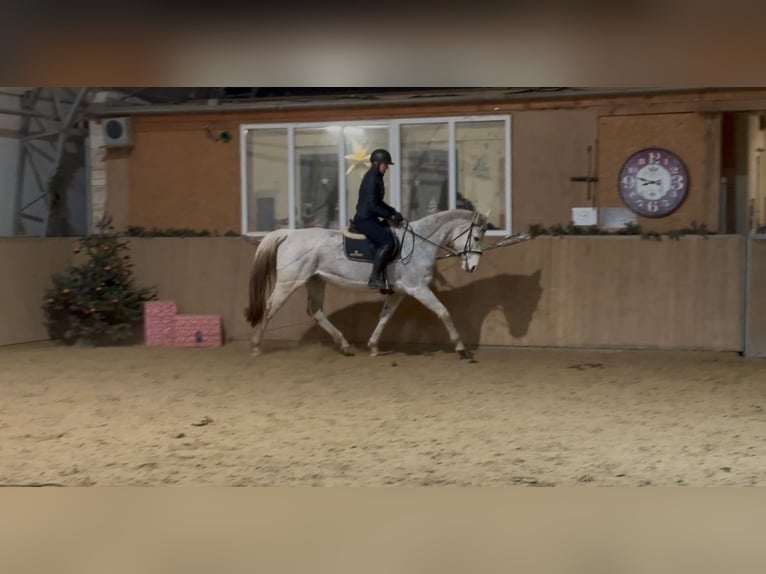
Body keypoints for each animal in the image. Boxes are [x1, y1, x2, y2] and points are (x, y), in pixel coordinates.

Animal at [244, 209, 490, 359]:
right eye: (476, 238)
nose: (473, 267)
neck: (419, 243)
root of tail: (289, 234)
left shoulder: (398, 292)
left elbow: (384, 318)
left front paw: (372, 346)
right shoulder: (418, 289)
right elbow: (443, 312)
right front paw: (461, 349)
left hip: (315, 281)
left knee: (315, 311)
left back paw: (344, 345)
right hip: (289, 282)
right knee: (270, 308)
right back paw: (255, 346)